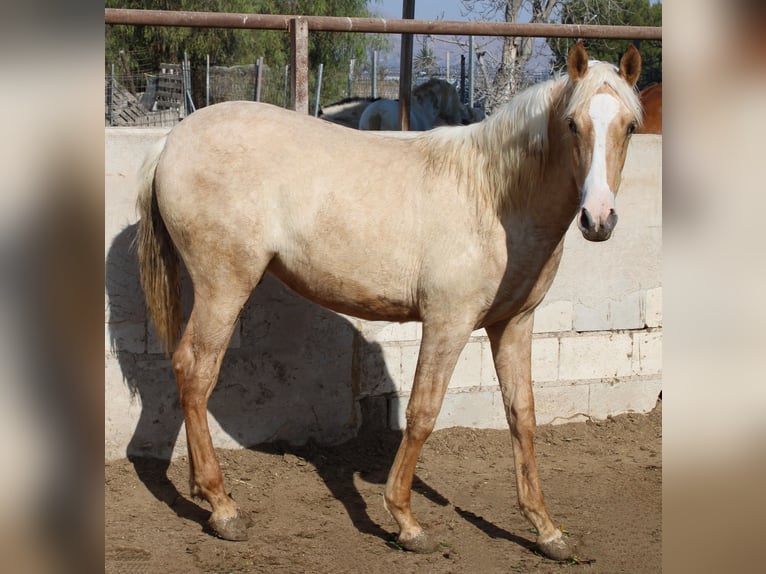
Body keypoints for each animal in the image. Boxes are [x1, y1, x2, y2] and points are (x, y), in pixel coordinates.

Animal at [136, 44, 640, 564]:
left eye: (630, 126)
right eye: (572, 124)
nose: (598, 218)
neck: (493, 194)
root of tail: (171, 141)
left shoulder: (513, 324)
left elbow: (522, 415)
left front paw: (547, 530)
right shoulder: (448, 322)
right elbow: (422, 413)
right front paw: (406, 521)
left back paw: (206, 494)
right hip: (224, 284)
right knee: (196, 372)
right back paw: (223, 508)